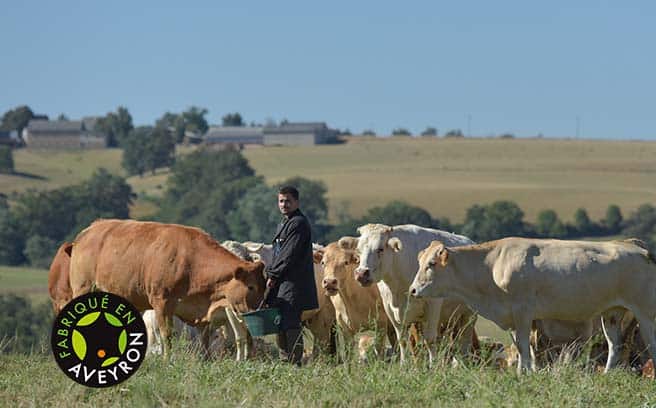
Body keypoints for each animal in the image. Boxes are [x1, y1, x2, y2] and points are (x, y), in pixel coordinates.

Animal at [70, 218, 266, 356]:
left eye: (264, 286)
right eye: (250, 287)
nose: (258, 309)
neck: (191, 262)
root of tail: (90, 229)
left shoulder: (199, 312)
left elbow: (204, 340)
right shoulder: (161, 302)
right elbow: (167, 337)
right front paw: (167, 361)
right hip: (83, 288)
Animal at [412, 237, 656, 374]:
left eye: (431, 264)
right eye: (420, 262)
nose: (413, 290)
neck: (492, 265)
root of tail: (641, 251)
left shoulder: (523, 311)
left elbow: (523, 346)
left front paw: (525, 373)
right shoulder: (512, 318)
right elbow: (522, 348)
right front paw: (525, 372)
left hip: (645, 313)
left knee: (650, 345)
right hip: (611, 314)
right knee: (615, 345)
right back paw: (607, 375)